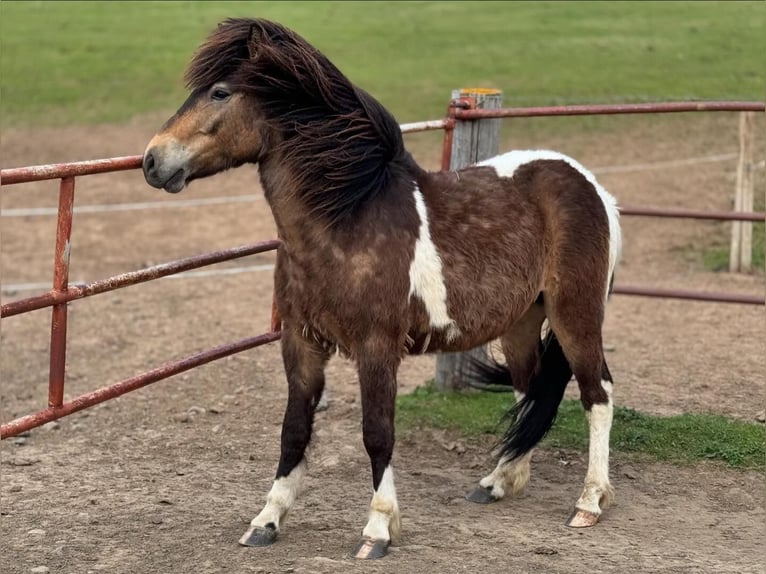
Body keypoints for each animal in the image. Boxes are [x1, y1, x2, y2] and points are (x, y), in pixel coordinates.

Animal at [142, 18, 622, 560]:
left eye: (220, 92)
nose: (153, 160)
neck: (348, 219)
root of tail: (590, 186)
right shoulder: (300, 343)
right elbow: (294, 430)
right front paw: (266, 520)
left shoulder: (376, 347)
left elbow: (377, 433)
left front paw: (377, 529)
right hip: (521, 323)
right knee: (531, 391)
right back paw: (498, 481)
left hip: (574, 314)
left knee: (597, 393)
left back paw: (589, 502)